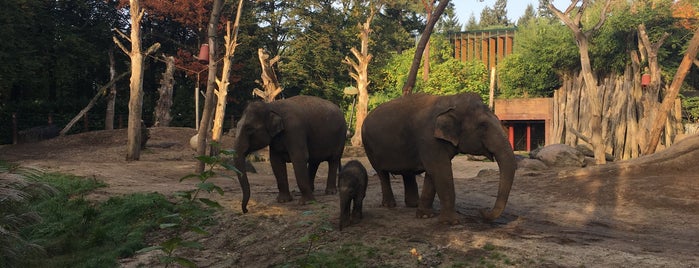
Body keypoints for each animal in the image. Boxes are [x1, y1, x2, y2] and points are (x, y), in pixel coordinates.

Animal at [364, 93, 516, 223]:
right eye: (483, 126)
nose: (482, 210)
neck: (451, 100)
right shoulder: (429, 139)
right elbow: (440, 170)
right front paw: (452, 222)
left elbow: (433, 173)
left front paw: (425, 215)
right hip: (368, 146)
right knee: (382, 174)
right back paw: (389, 205)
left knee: (407, 173)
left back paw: (413, 204)